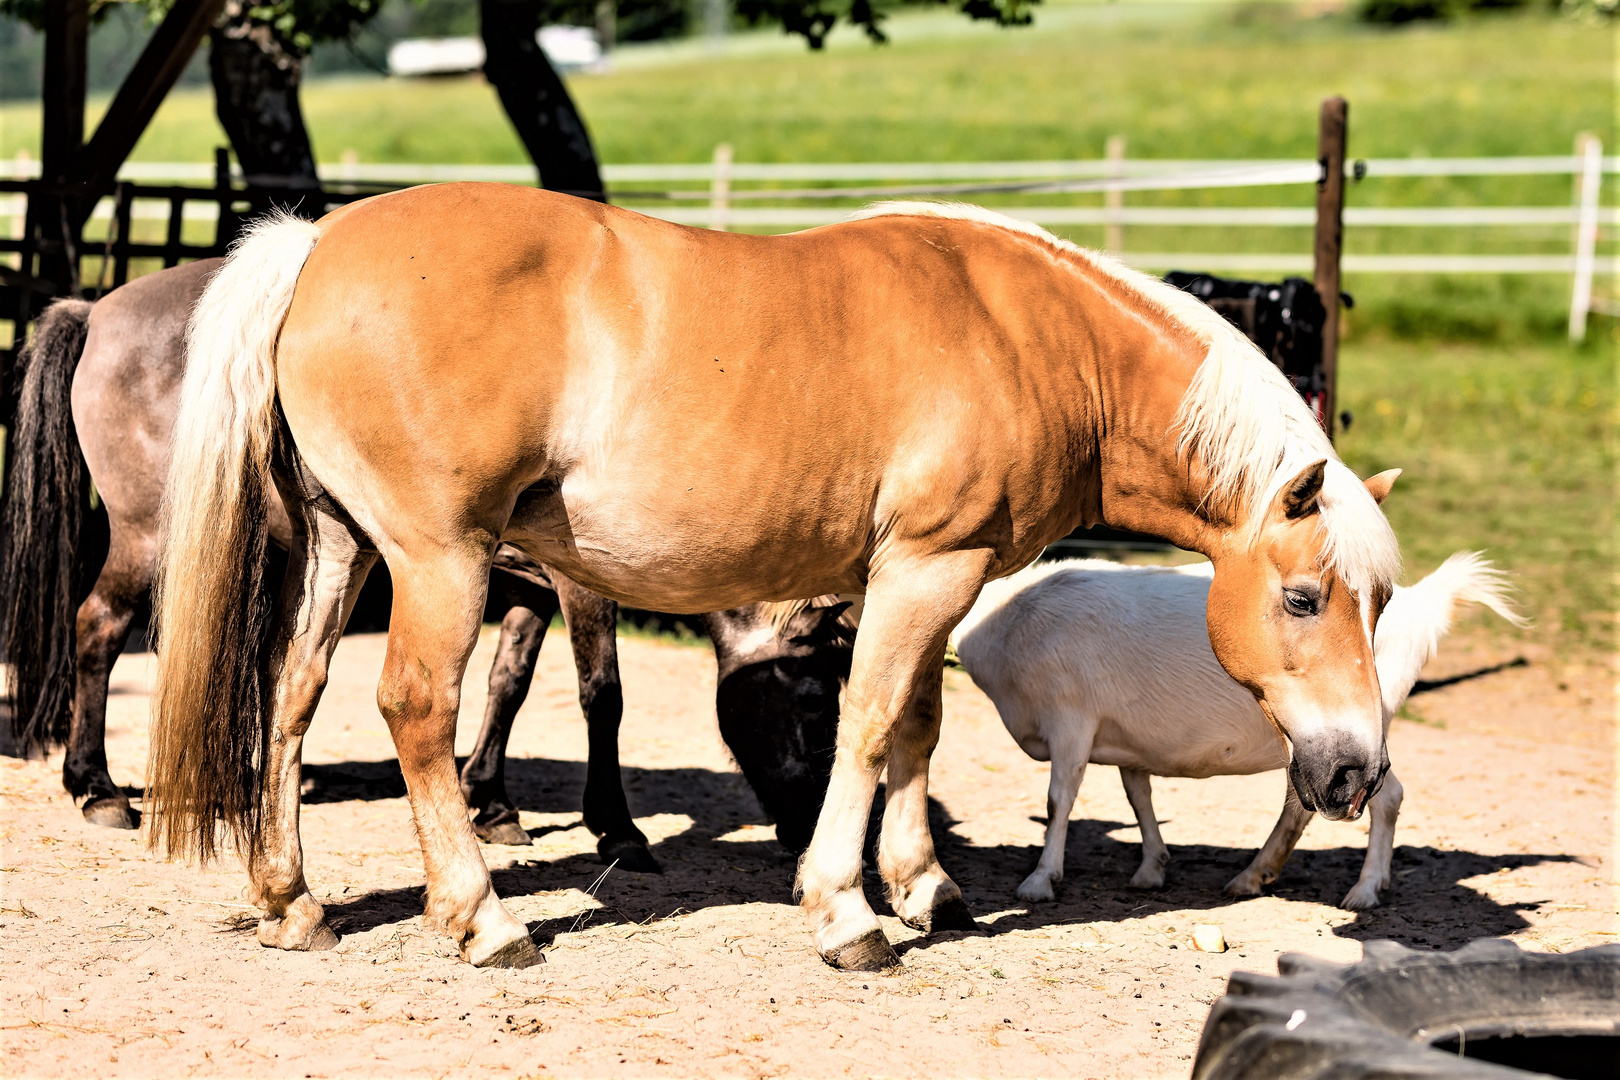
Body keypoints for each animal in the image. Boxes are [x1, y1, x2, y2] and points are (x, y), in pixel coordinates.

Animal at [0, 265, 855, 874]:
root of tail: (96, 311)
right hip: (149, 541)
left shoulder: (527, 586)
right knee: (98, 629)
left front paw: (492, 802)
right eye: (817, 708)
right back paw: (95, 786)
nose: (805, 830)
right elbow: (601, 693)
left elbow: (508, 683)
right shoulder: (582, 586)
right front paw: (616, 828)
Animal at [154, 190, 1406, 977]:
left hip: (342, 549)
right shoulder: (925, 567)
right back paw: (485, 919)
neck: (1030, 334)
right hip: (438, 560)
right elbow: (870, 724)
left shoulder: (923, 576)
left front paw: (922, 884)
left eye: (1379, 604)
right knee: (415, 710)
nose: (1353, 770)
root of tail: (318, 243)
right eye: (1304, 598)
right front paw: (849, 910)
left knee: (291, 700)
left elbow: (916, 726)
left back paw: (292, 902)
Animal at [946, 550, 1516, 913]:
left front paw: (1040, 880)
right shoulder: (1128, 737)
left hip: (1360, 734)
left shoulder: (1071, 718)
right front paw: (1152, 867)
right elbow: (1139, 796)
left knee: (1386, 795)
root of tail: (1419, 608)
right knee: (1305, 800)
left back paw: (1365, 889)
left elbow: (1058, 800)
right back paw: (1254, 875)